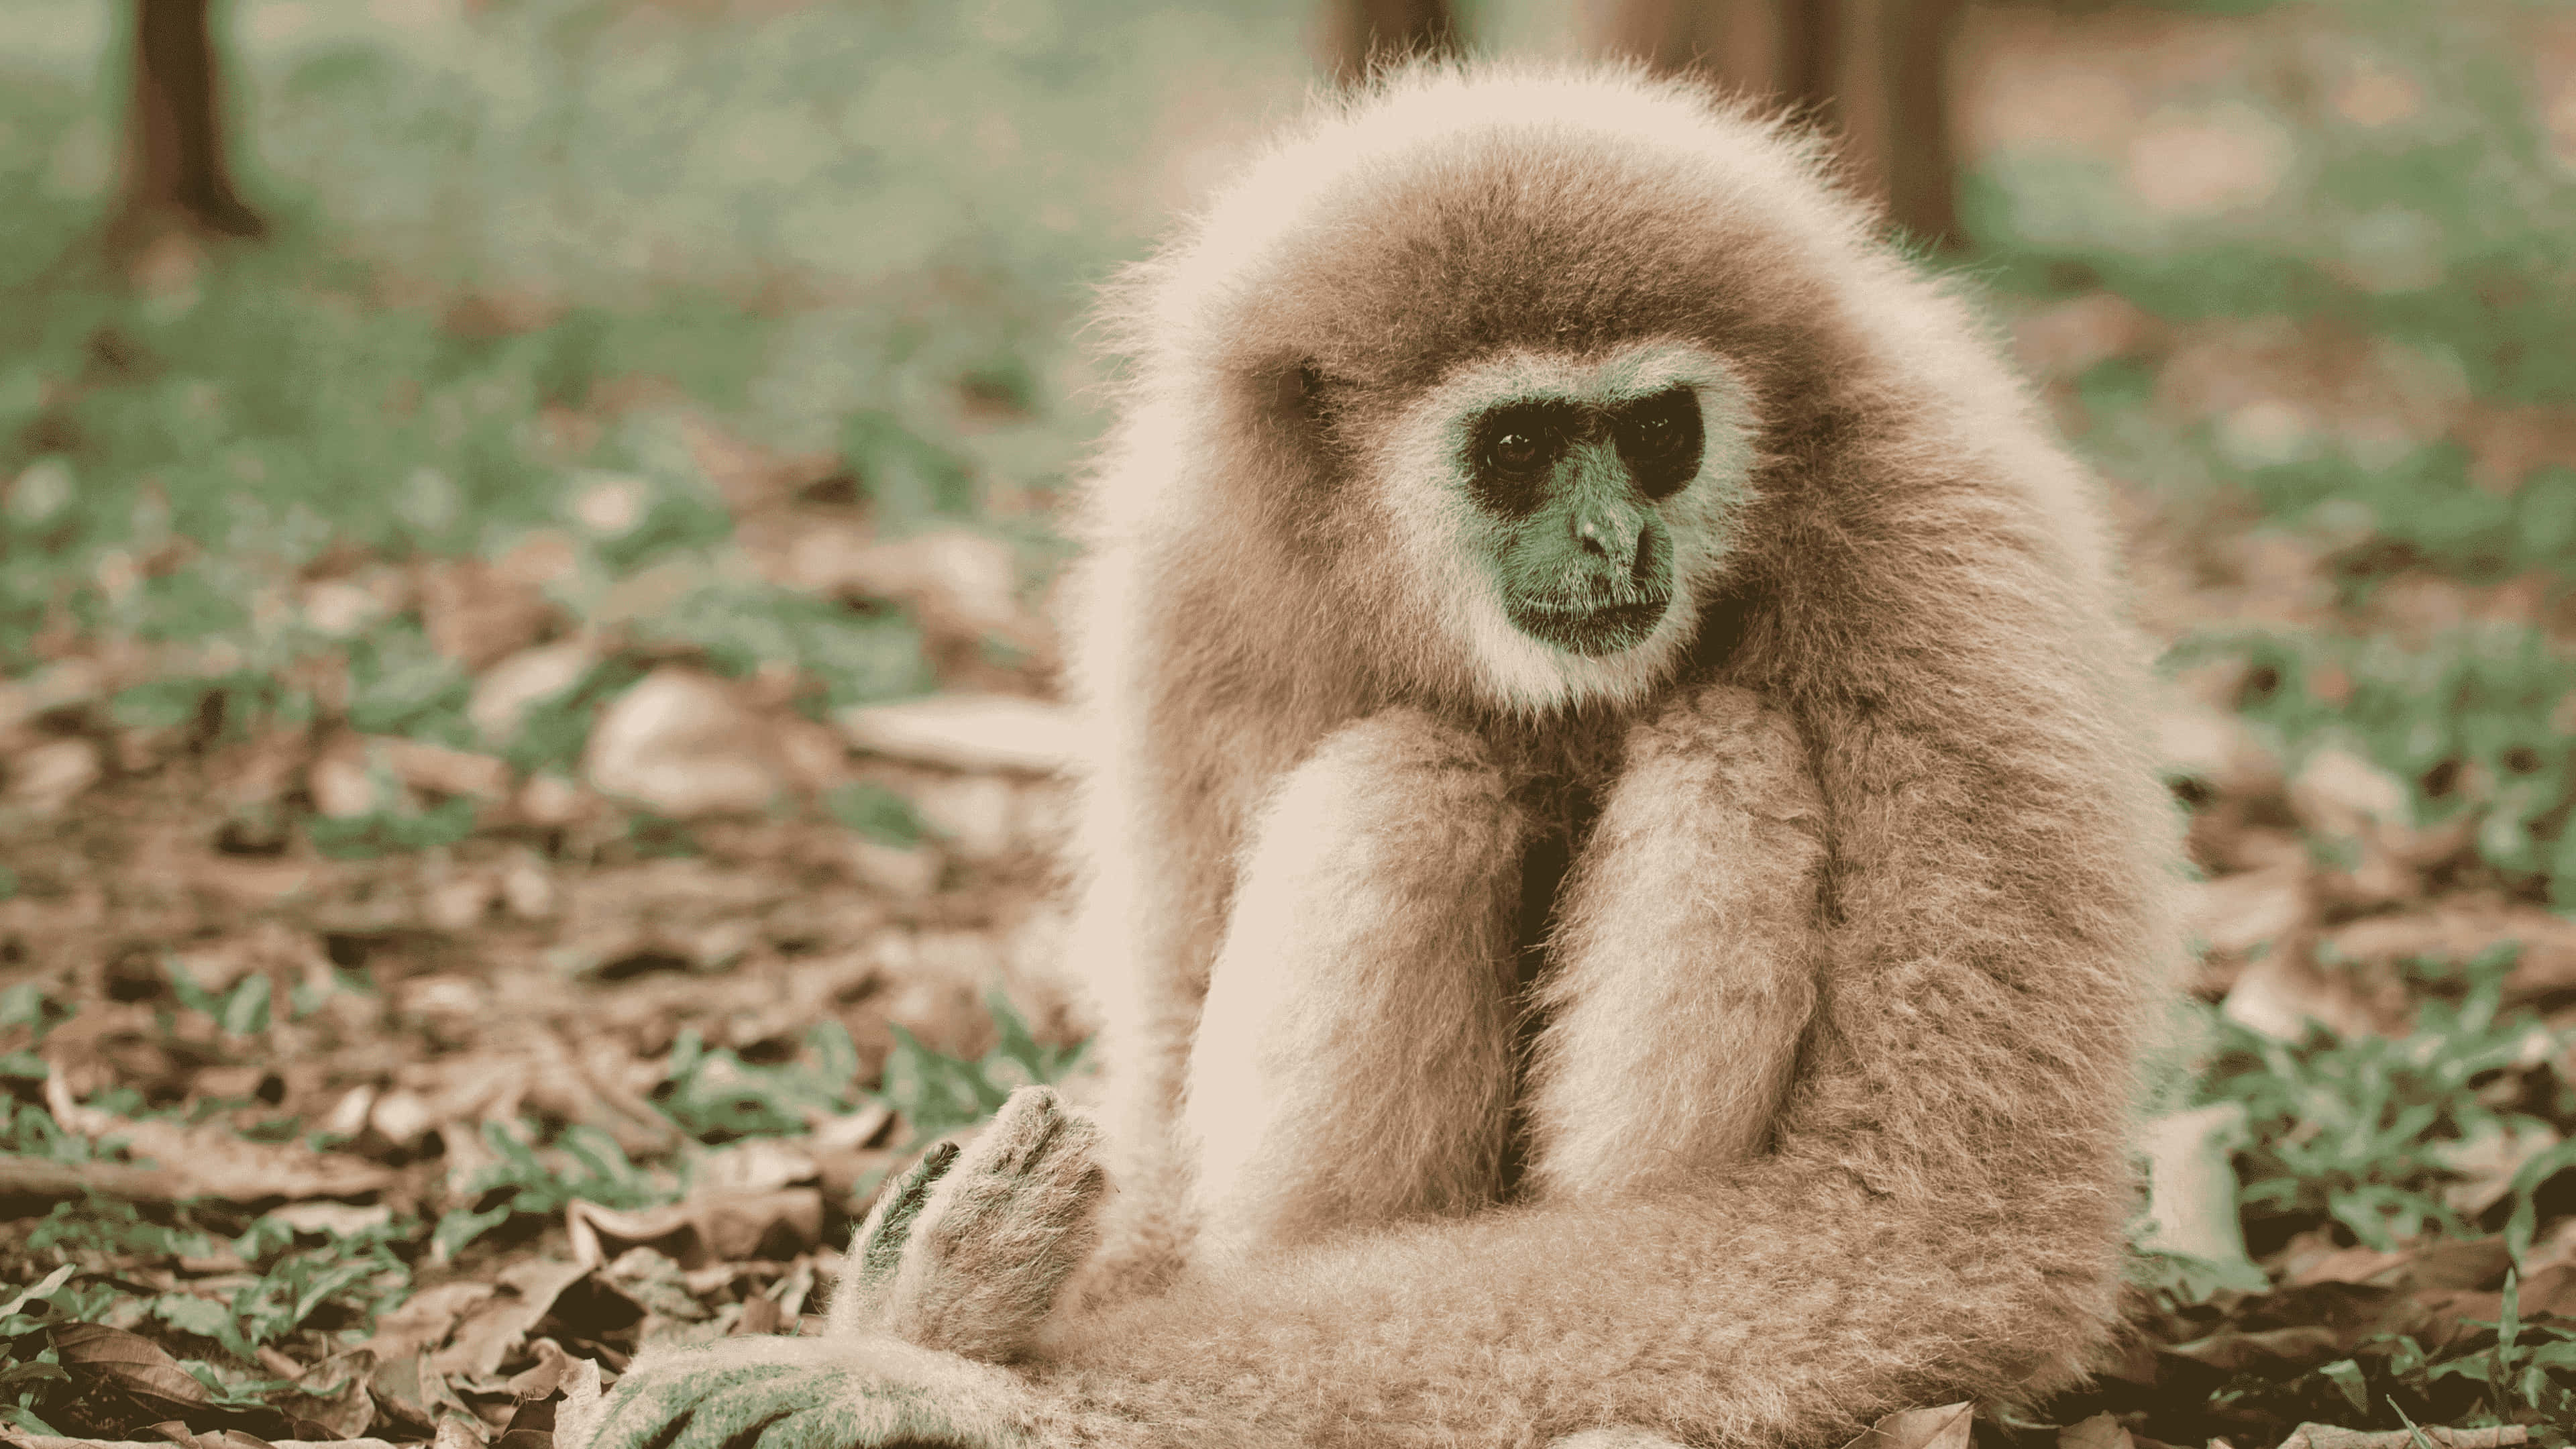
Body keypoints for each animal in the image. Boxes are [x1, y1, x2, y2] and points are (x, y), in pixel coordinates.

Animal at [577, 59, 2185, 1449]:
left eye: (1660, 431)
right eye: (1520, 449)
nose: (1613, 538)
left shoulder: (1944, 554)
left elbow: (1930, 1229)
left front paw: (933, 1383)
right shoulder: (1194, 573)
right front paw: (934, 1306)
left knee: (1723, 749)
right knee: (1412, 778)